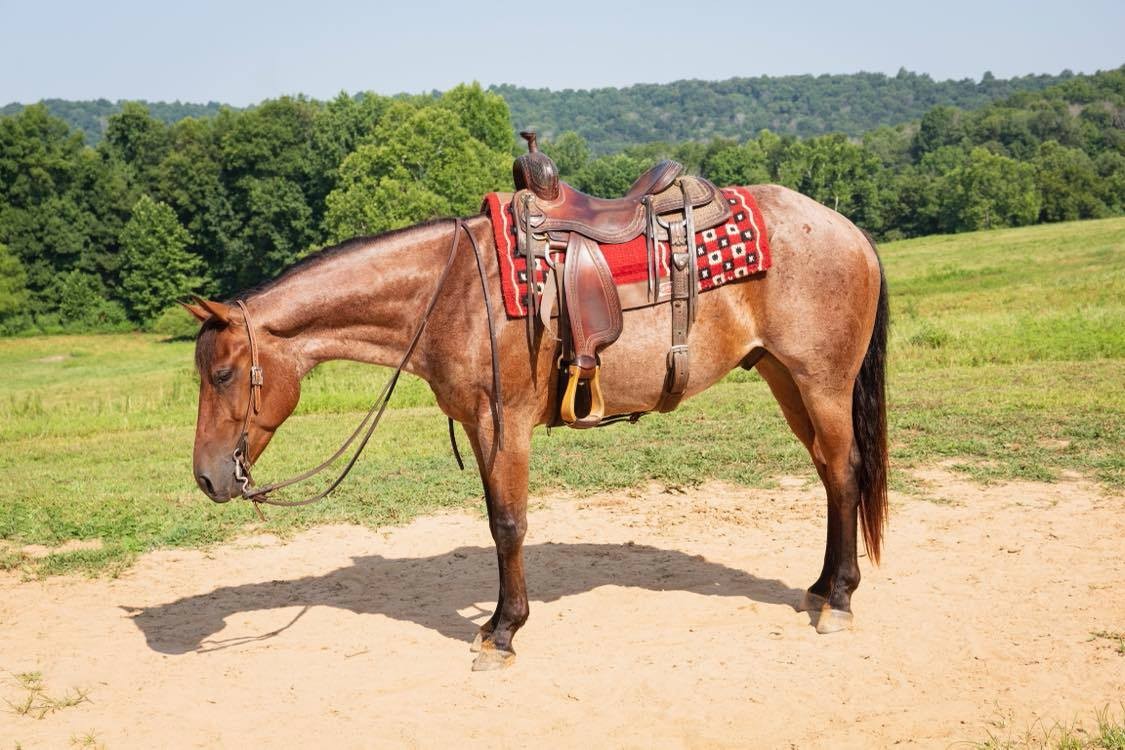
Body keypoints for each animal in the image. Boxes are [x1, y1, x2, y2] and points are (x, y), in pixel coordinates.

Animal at [185, 183, 889, 671]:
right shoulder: (478, 426)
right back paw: (821, 589)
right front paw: (497, 624)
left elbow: (508, 525)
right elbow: (498, 520)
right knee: (828, 473)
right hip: (783, 377)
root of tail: (849, 230)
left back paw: (841, 600)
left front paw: (502, 632)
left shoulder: (505, 425)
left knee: (845, 471)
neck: (452, 293)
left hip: (821, 383)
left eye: (222, 373)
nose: (208, 477)